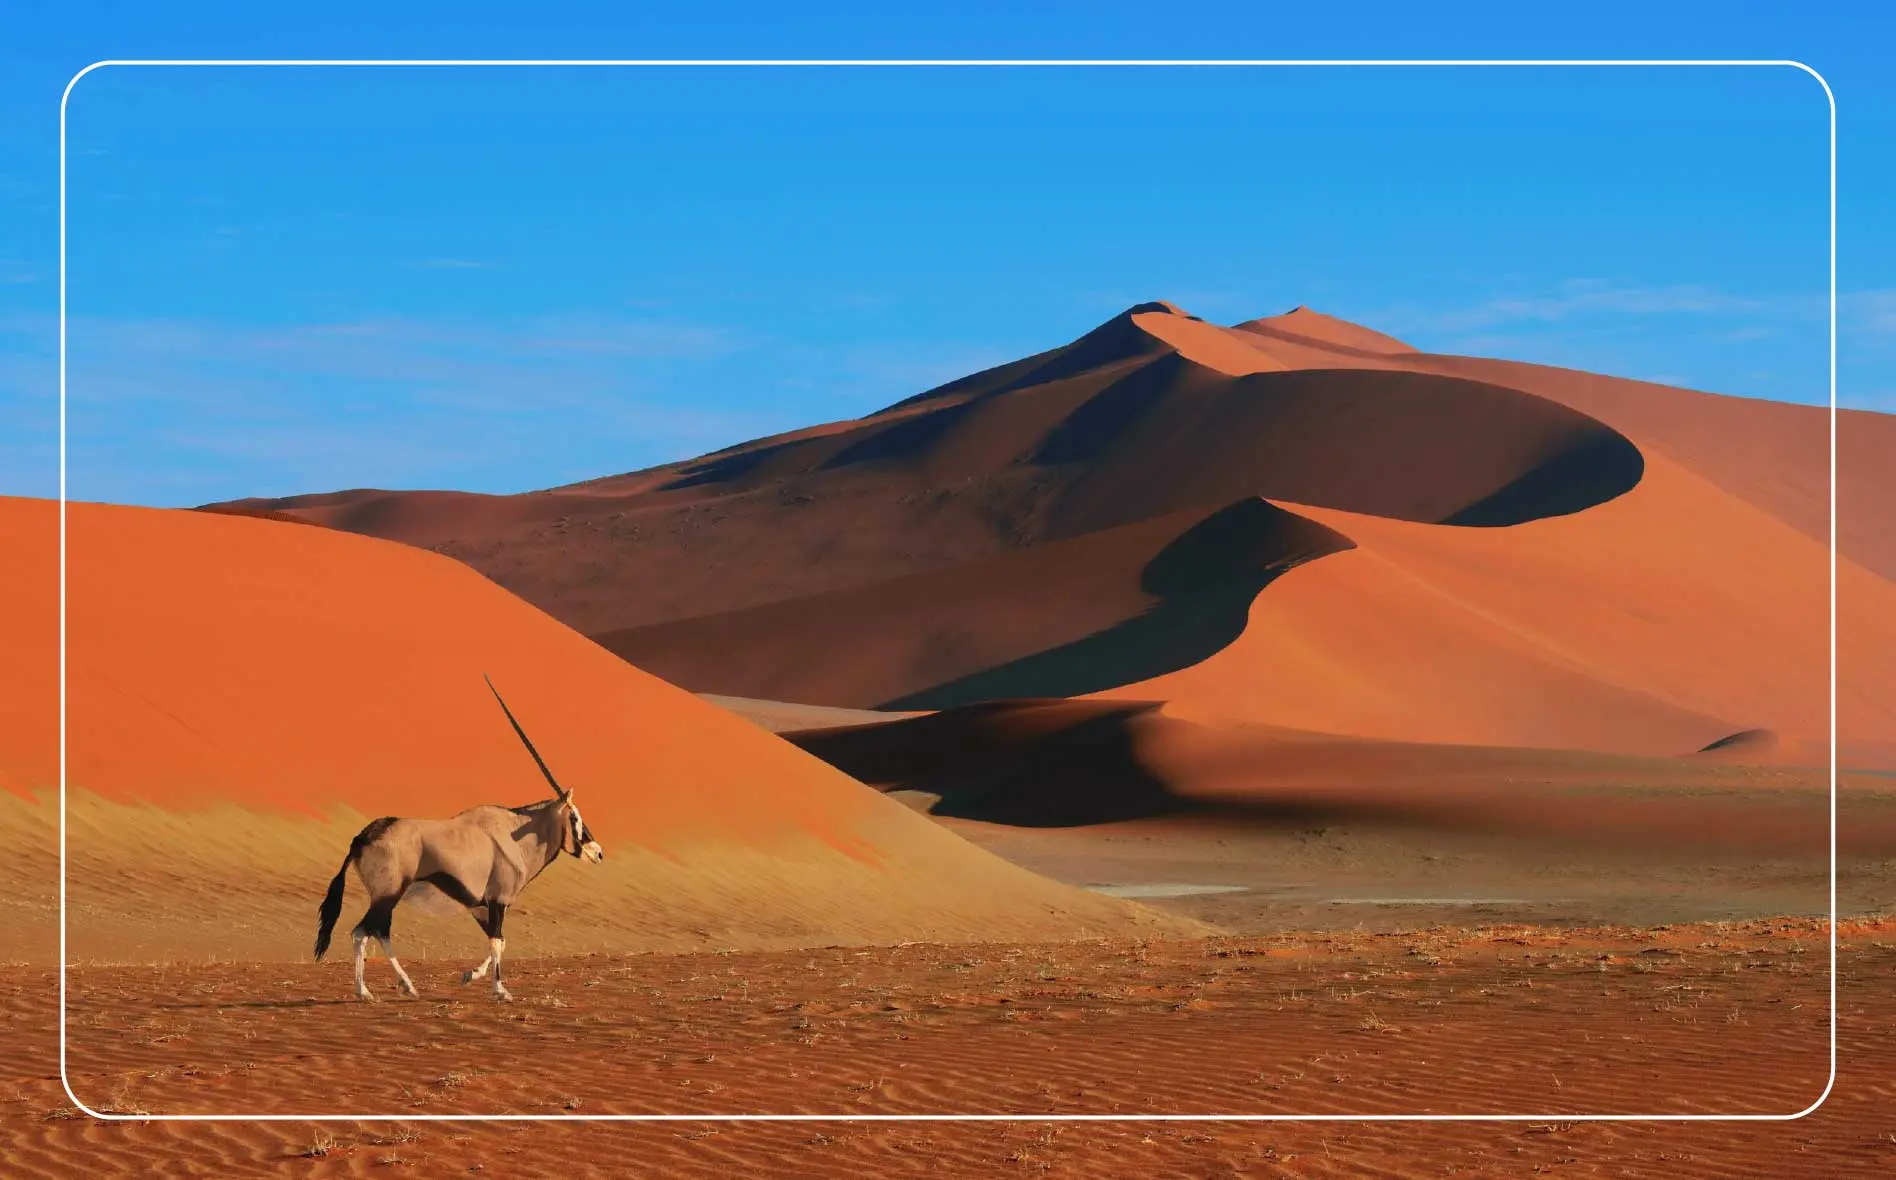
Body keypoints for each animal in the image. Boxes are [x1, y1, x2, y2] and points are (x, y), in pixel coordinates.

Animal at [313, 675, 604, 1001]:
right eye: (574, 817)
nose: (598, 852)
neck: (516, 835)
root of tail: (362, 837)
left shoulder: (480, 906)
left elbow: (498, 941)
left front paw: (470, 975)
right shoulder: (498, 900)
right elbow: (498, 941)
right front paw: (500, 990)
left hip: (386, 897)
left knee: (376, 931)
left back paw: (399, 985)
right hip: (388, 894)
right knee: (363, 932)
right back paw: (369, 990)